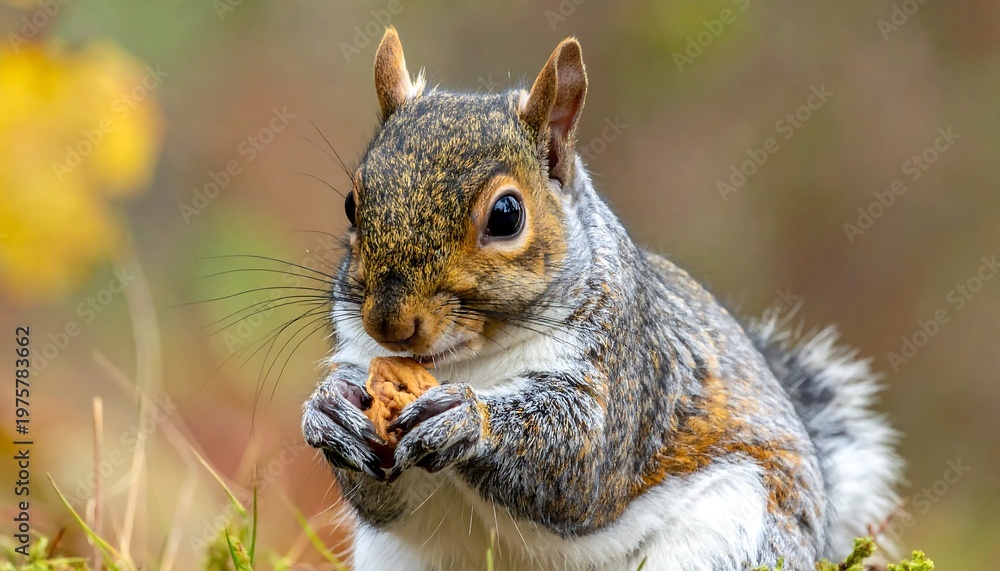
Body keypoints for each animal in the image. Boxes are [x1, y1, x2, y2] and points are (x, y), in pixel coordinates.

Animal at [301, 27, 902, 571]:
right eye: (352, 203)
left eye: (506, 215)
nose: (389, 323)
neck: (465, 362)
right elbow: (380, 499)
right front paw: (330, 409)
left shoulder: (627, 368)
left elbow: (580, 466)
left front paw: (468, 419)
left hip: (733, 533)